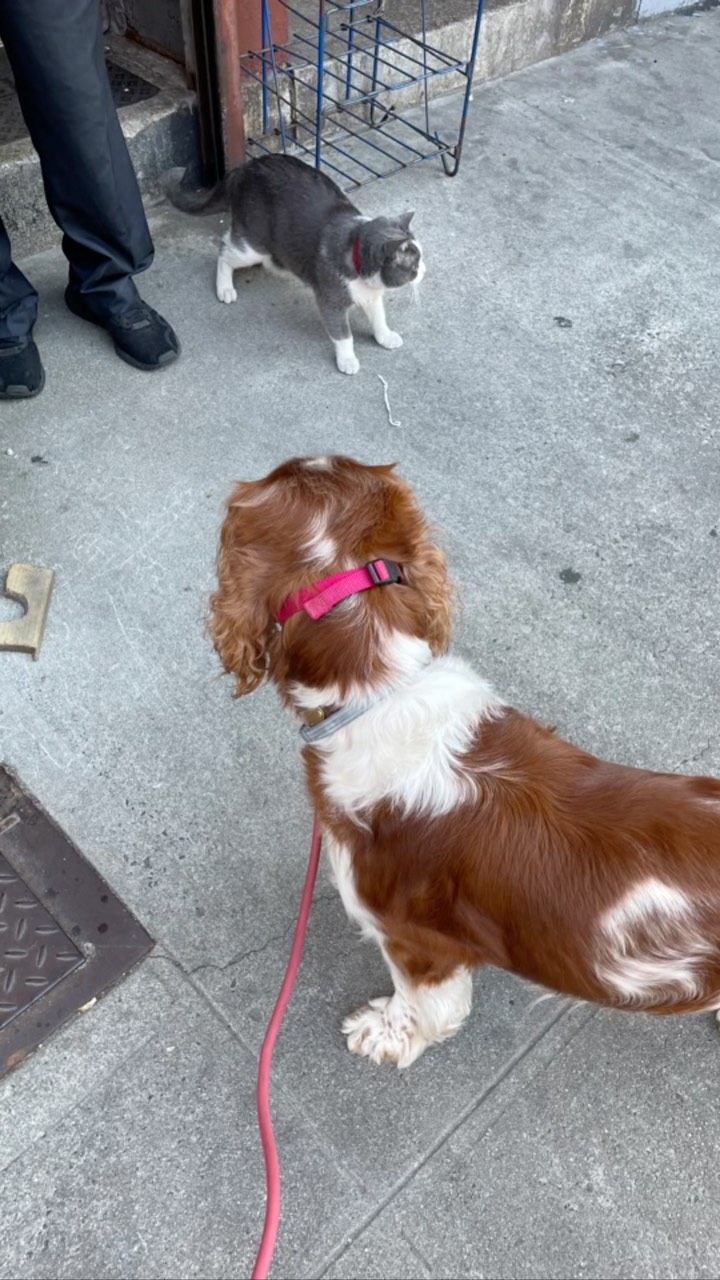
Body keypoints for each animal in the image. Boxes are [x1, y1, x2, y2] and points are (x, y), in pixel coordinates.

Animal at [165, 154, 425, 375]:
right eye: (414, 265)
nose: (424, 270)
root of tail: (244, 168)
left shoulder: (370, 295)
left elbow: (379, 318)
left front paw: (386, 336)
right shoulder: (330, 298)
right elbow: (343, 334)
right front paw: (347, 359)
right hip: (252, 244)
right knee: (225, 250)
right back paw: (225, 288)